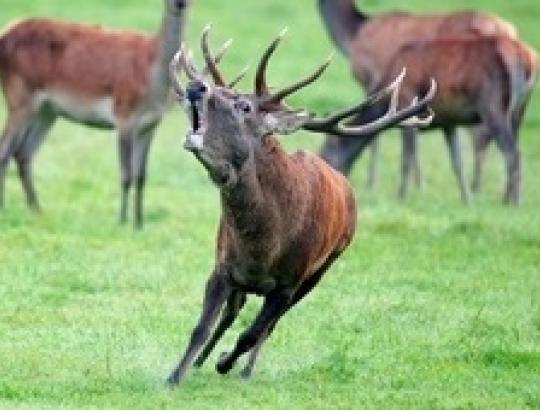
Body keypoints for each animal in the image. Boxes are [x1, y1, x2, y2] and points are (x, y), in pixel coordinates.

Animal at [0, 0, 190, 227]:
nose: (179, 3)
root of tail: (5, 33)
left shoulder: (150, 124)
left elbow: (141, 176)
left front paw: (139, 223)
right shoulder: (124, 115)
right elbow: (126, 175)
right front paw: (123, 221)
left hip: (47, 110)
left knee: (23, 153)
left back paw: (37, 211)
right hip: (19, 95)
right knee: (5, 151)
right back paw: (6, 207)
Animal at [165, 28, 434, 384]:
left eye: (243, 105)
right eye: (220, 90)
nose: (196, 87)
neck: (263, 246)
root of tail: (346, 187)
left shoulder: (288, 283)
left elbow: (252, 333)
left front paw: (225, 363)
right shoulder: (224, 266)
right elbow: (201, 326)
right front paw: (176, 375)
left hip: (321, 270)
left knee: (268, 328)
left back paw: (244, 369)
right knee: (233, 312)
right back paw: (203, 361)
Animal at [318, 0, 516, 199]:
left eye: (326, 152)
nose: (334, 180)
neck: (353, 35)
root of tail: (508, 28)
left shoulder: (373, 80)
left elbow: (381, 142)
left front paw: (376, 184)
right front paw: (420, 186)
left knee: (487, 140)